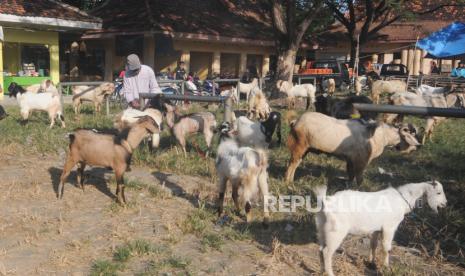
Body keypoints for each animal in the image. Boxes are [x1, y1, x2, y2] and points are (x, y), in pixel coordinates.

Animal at [284, 112, 418, 185]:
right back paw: (287, 182)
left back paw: (291, 181)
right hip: (299, 146)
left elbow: (351, 174)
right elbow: (359, 177)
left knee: (296, 164)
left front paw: (349, 185)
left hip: (305, 149)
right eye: (408, 135)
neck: (383, 135)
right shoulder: (361, 160)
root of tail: (296, 121)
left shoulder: (351, 160)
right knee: (291, 165)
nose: (415, 148)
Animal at [314, 181, 448, 276]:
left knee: (320, 250)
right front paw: (386, 267)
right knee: (327, 252)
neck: (403, 198)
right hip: (335, 232)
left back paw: (322, 271)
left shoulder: (376, 229)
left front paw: (371, 263)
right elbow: (386, 248)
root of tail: (326, 202)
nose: (445, 204)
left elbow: (373, 244)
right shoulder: (389, 227)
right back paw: (330, 273)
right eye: (438, 192)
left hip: (321, 229)